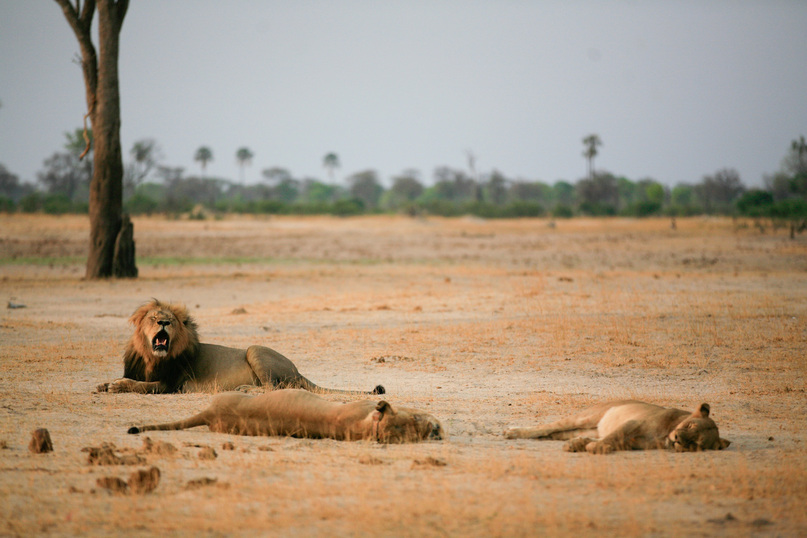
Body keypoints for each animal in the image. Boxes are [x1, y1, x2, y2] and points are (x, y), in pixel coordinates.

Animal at [94, 298, 386, 394]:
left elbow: (141, 385)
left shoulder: (171, 384)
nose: (164, 322)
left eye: (172, 321)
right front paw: (103, 384)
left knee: (272, 388)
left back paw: (245, 389)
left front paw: (116, 386)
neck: (151, 356)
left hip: (254, 349)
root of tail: (298, 371)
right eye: (154, 319)